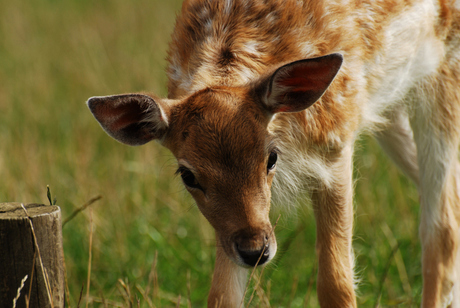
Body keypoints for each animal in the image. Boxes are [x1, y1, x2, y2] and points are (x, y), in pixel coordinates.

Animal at [87, 0, 460, 306]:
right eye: (188, 175)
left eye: (271, 157)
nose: (256, 251)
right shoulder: (231, 228)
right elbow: (222, 294)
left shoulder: (335, 140)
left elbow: (335, 283)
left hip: (442, 74)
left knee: (442, 229)